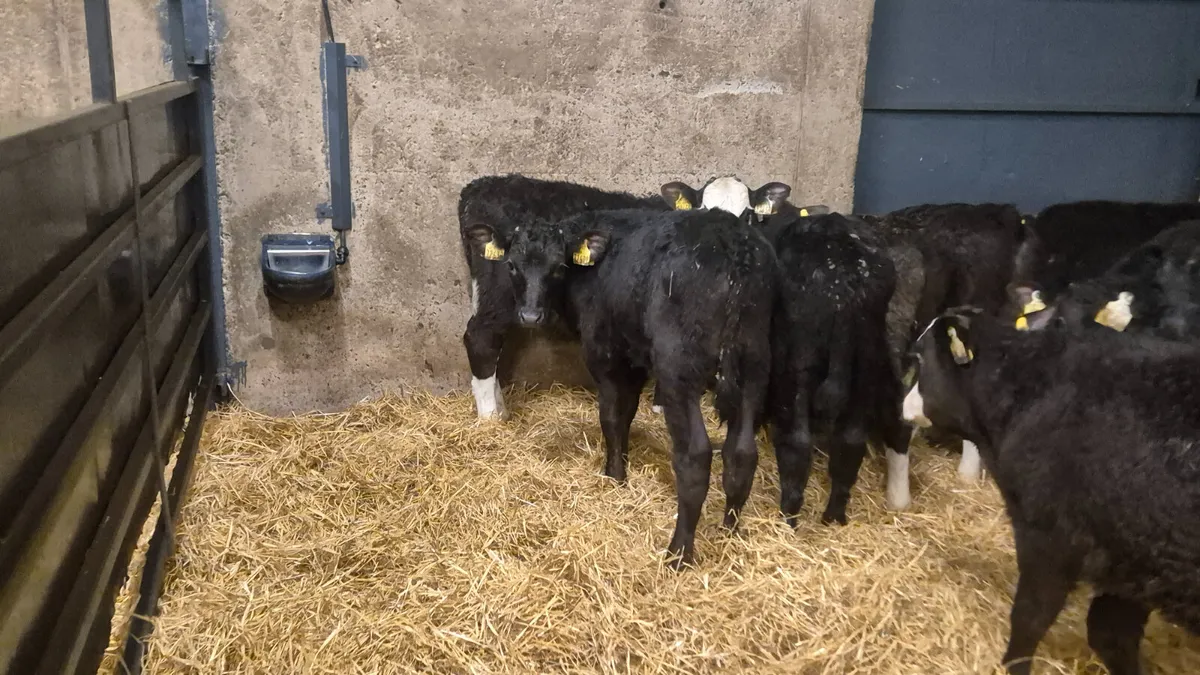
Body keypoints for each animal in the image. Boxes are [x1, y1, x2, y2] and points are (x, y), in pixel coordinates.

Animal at [463, 204, 777, 568]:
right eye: (512, 265)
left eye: (558, 268)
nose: (529, 315)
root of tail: (733, 242)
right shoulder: (634, 356)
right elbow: (626, 414)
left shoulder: (606, 353)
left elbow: (612, 417)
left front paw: (613, 476)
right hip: (754, 365)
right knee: (741, 453)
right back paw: (730, 532)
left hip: (679, 369)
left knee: (695, 456)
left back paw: (678, 553)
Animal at [901, 307, 1200, 675]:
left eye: (920, 359)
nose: (903, 405)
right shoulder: (1132, 564)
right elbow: (1111, 634)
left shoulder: (1050, 540)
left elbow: (1030, 618)